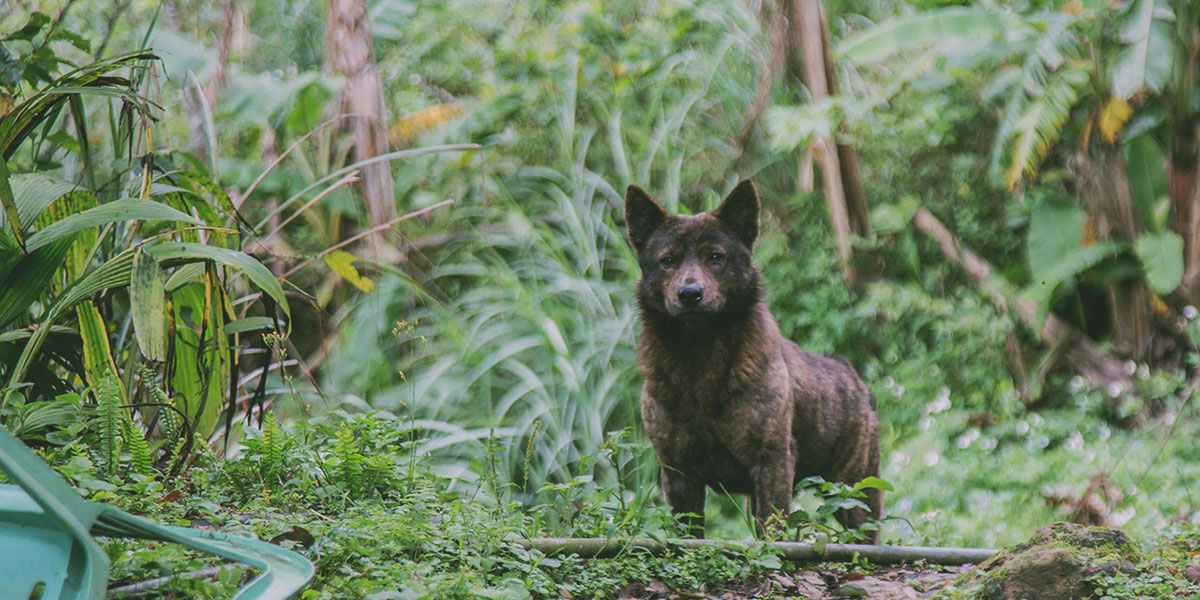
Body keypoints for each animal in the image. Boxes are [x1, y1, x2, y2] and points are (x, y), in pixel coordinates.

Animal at [628, 177, 883, 540]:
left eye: (715, 257)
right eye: (668, 260)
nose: (690, 294)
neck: (700, 360)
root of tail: (852, 376)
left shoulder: (771, 462)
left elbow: (773, 534)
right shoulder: (678, 471)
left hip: (853, 495)